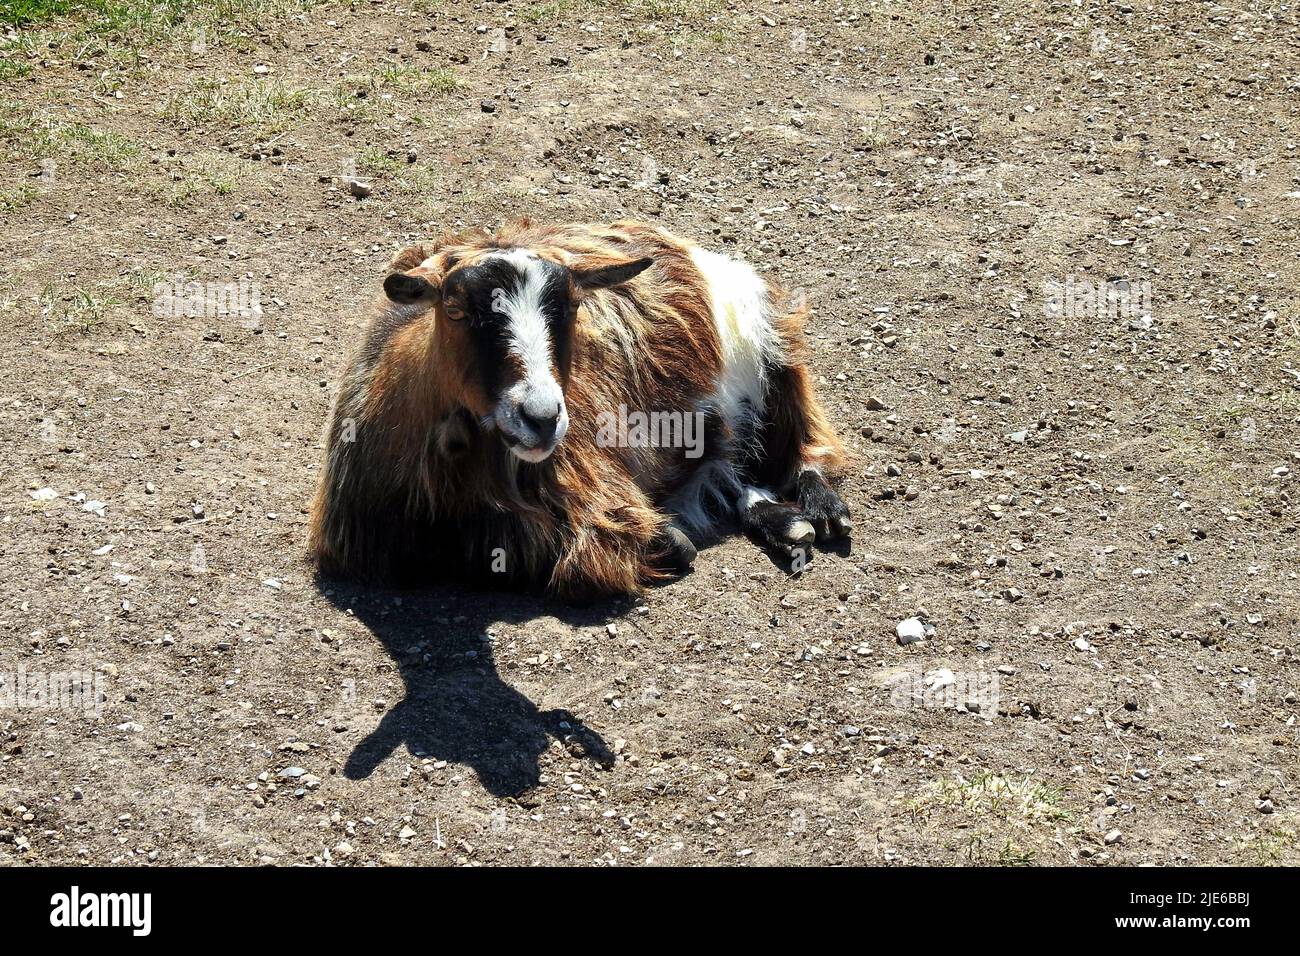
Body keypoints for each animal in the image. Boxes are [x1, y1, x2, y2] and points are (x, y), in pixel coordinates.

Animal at [309, 219, 850, 600]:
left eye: (571, 307)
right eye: (456, 310)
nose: (541, 417)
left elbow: (663, 548)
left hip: (769, 337)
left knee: (800, 439)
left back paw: (820, 509)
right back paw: (783, 523)